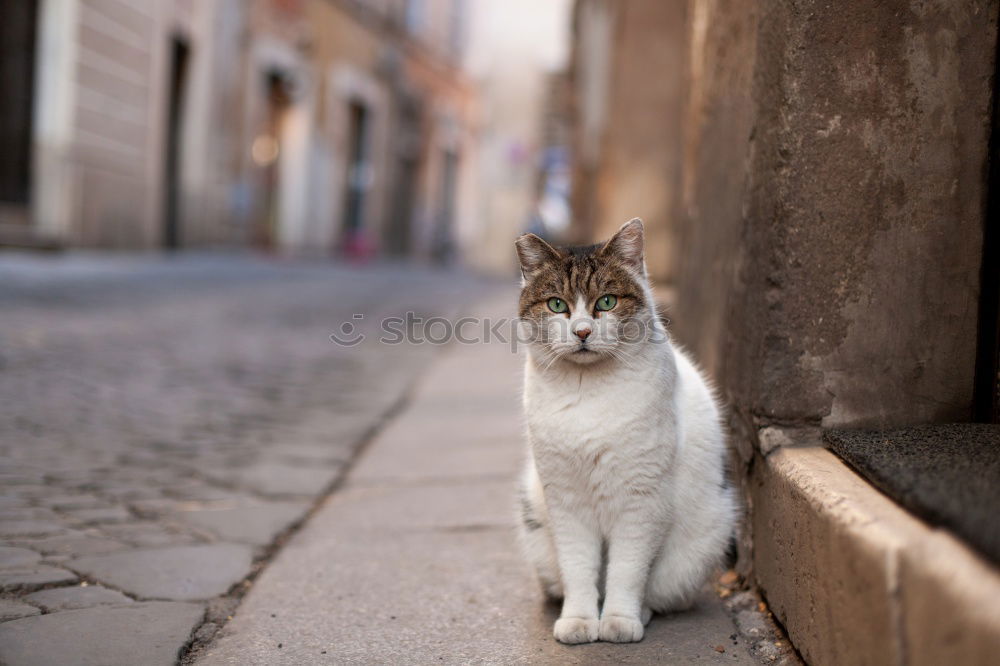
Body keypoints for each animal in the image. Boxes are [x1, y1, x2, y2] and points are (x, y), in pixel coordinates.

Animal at [516, 219, 736, 644]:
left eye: (606, 302)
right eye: (557, 305)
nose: (582, 331)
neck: (588, 392)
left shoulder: (642, 499)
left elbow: (627, 570)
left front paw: (619, 620)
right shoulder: (566, 500)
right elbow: (578, 567)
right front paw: (579, 620)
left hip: (696, 547)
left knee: (657, 591)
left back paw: (642, 612)